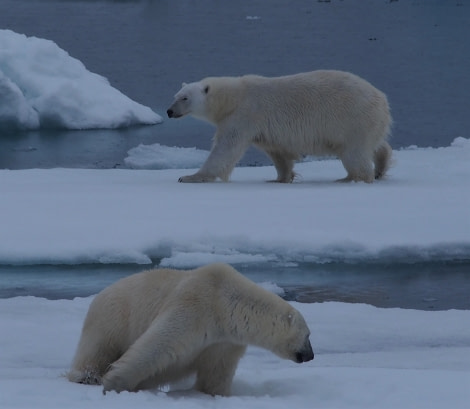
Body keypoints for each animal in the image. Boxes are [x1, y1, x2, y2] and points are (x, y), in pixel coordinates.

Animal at [68, 262, 314, 396]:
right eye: (308, 335)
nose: (311, 356)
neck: (226, 302)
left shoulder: (225, 341)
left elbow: (216, 372)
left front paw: (215, 394)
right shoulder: (195, 304)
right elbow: (159, 344)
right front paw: (115, 382)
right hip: (113, 316)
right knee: (98, 347)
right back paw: (88, 376)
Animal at [167, 69, 392, 182]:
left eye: (185, 98)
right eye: (175, 96)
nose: (169, 111)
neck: (232, 98)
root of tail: (382, 98)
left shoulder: (244, 115)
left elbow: (225, 150)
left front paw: (190, 176)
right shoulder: (265, 128)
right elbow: (277, 152)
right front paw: (281, 178)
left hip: (353, 119)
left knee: (354, 153)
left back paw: (353, 178)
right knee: (377, 144)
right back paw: (380, 167)